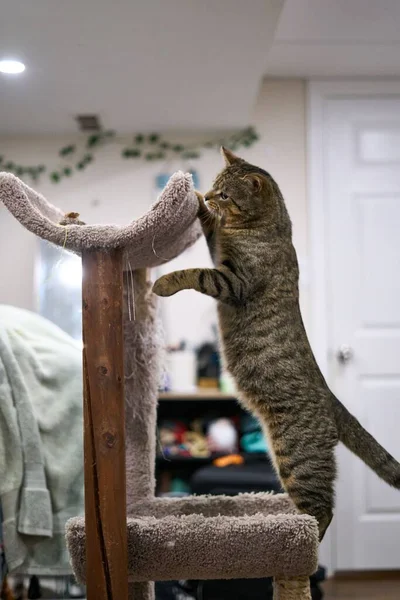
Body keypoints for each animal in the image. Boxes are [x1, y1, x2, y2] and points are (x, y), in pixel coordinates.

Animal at [153, 146, 400, 540]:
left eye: (226, 194)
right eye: (216, 187)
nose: (210, 194)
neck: (268, 228)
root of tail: (331, 401)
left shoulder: (232, 281)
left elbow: (195, 273)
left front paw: (164, 281)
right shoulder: (220, 253)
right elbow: (210, 230)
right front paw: (196, 200)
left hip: (296, 459)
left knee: (322, 511)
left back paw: (298, 534)